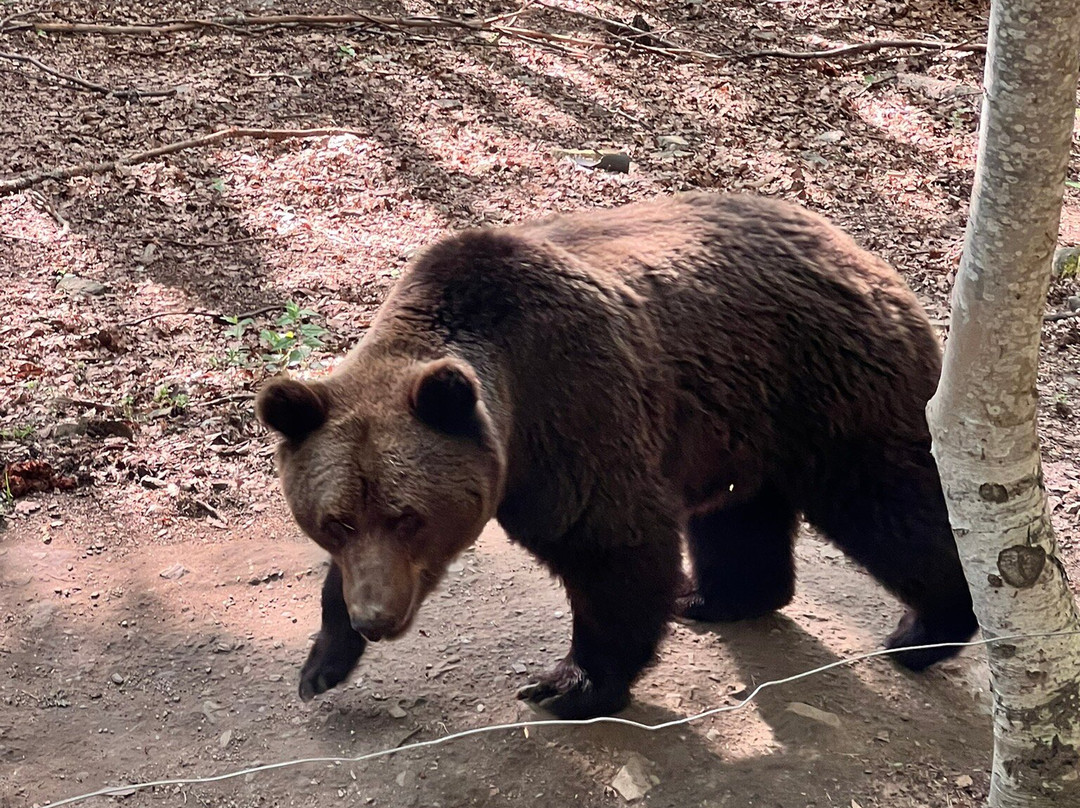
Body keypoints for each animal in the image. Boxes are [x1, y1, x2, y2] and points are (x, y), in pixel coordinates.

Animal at [256, 192, 978, 721]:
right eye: (336, 520)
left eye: (411, 517)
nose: (375, 619)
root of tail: (859, 249)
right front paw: (321, 663)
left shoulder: (573, 416)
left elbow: (612, 546)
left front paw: (569, 684)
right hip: (741, 415)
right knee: (739, 514)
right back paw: (715, 596)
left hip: (830, 386)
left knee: (888, 501)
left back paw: (923, 631)